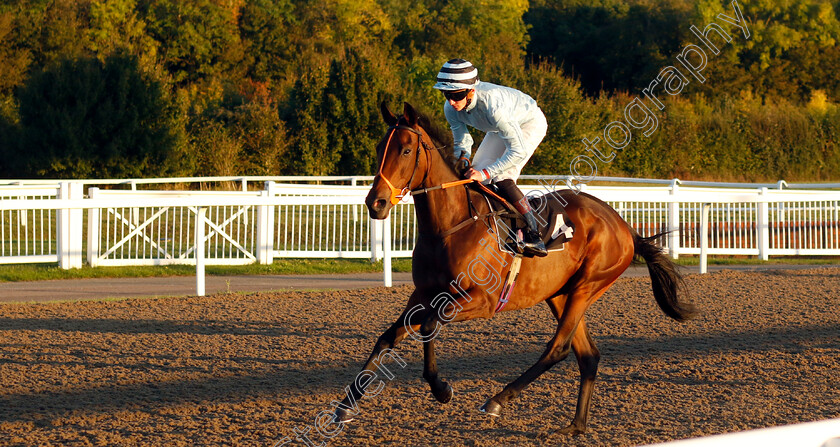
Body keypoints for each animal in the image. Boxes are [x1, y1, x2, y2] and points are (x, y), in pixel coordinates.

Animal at [332, 102, 692, 438]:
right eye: (380, 147)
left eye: (406, 149)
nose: (375, 203)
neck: (450, 227)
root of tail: (623, 225)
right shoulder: (423, 294)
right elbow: (387, 337)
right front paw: (345, 407)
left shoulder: (481, 301)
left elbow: (430, 325)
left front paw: (441, 388)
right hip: (559, 294)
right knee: (587, 354)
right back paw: (575, 426)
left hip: (587, 287)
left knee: (558, 348)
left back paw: (497, 400)